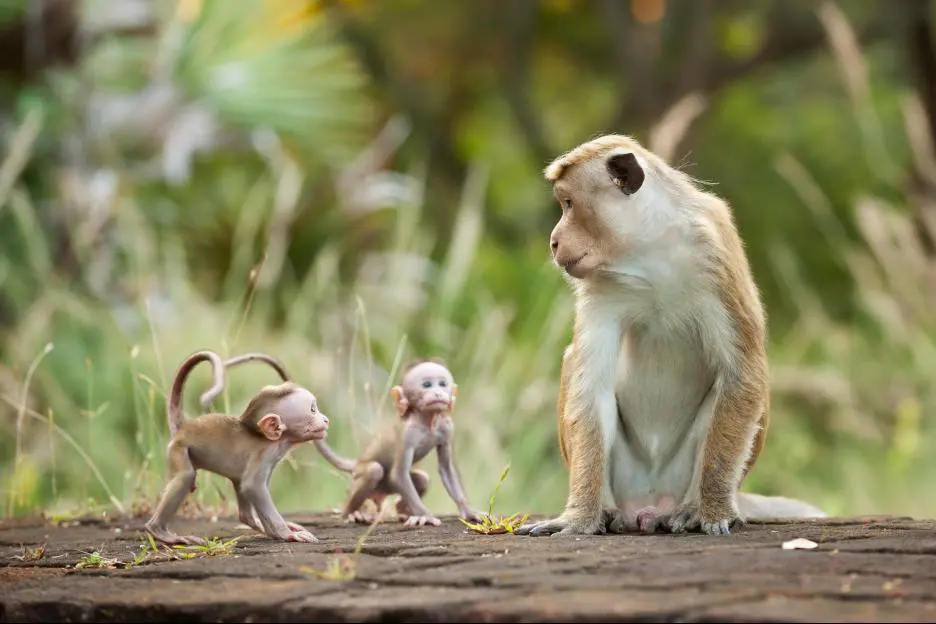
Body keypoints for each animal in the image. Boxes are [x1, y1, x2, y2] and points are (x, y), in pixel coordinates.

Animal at [144, 350, 330, 545]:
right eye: (313, 410)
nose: (325, 419)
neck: (277, 440)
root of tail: (184, 427)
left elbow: (249, 486)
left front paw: (275, 530)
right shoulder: (264, 454)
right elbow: (253, 486)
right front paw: (286, 533)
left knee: (238, 488)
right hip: (178, 448)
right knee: (186, 476)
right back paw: (159, 531)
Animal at [312, 358, 482, 528]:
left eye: (442, 384)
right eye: (426, 385)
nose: (438, 392)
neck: (427, 421)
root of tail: (358, 461)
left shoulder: (447, 427)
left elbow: (446, 469)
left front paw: (468, 511)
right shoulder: (408, 434)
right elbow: (399, 474)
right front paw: (425, 515)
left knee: (422, 479)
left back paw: (401, 510)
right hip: (361, 474)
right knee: (373, 470)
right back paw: (350, 512)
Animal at [515, 134, 826, 538]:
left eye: (568, 203)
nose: (554, 241)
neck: (649, 252)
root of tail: (649, 505)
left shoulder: (715, 252)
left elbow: (743, 373)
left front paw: (713, 509)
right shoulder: (600, 286)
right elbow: (591, 387)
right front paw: (579, 517)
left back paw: (692, 507)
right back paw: (608, 510)